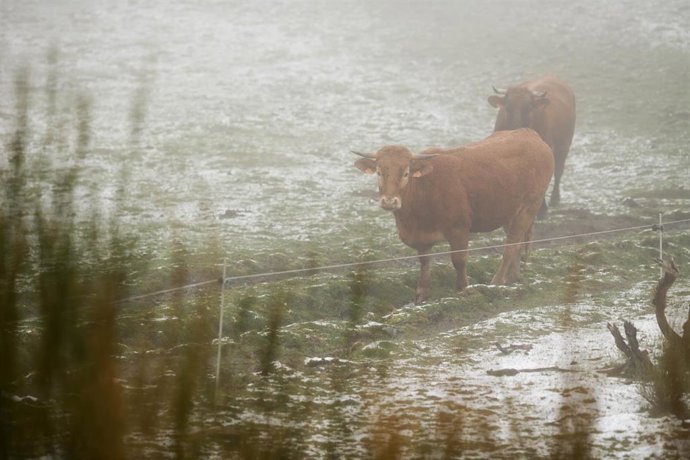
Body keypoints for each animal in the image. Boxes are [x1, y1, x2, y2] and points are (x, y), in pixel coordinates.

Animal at [353, 128, 554, 303]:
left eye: (406, 173)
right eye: (379, 172)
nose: (389, 201)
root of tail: (530, 134)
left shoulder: (460, 229)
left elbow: (459, 261)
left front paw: (462, 289)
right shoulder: (421, 237)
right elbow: (424, 262)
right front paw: (421, 294)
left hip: (528, 207)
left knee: (511, 246)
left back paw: (496, 281)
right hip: (509, 212)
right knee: (518, 243)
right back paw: (513, 277)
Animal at [487, 75, 576, 216]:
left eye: (528, 108)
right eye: (508, 108)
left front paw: (542, 210)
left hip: (565, 144)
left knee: (558, 171)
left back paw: (555, 199)